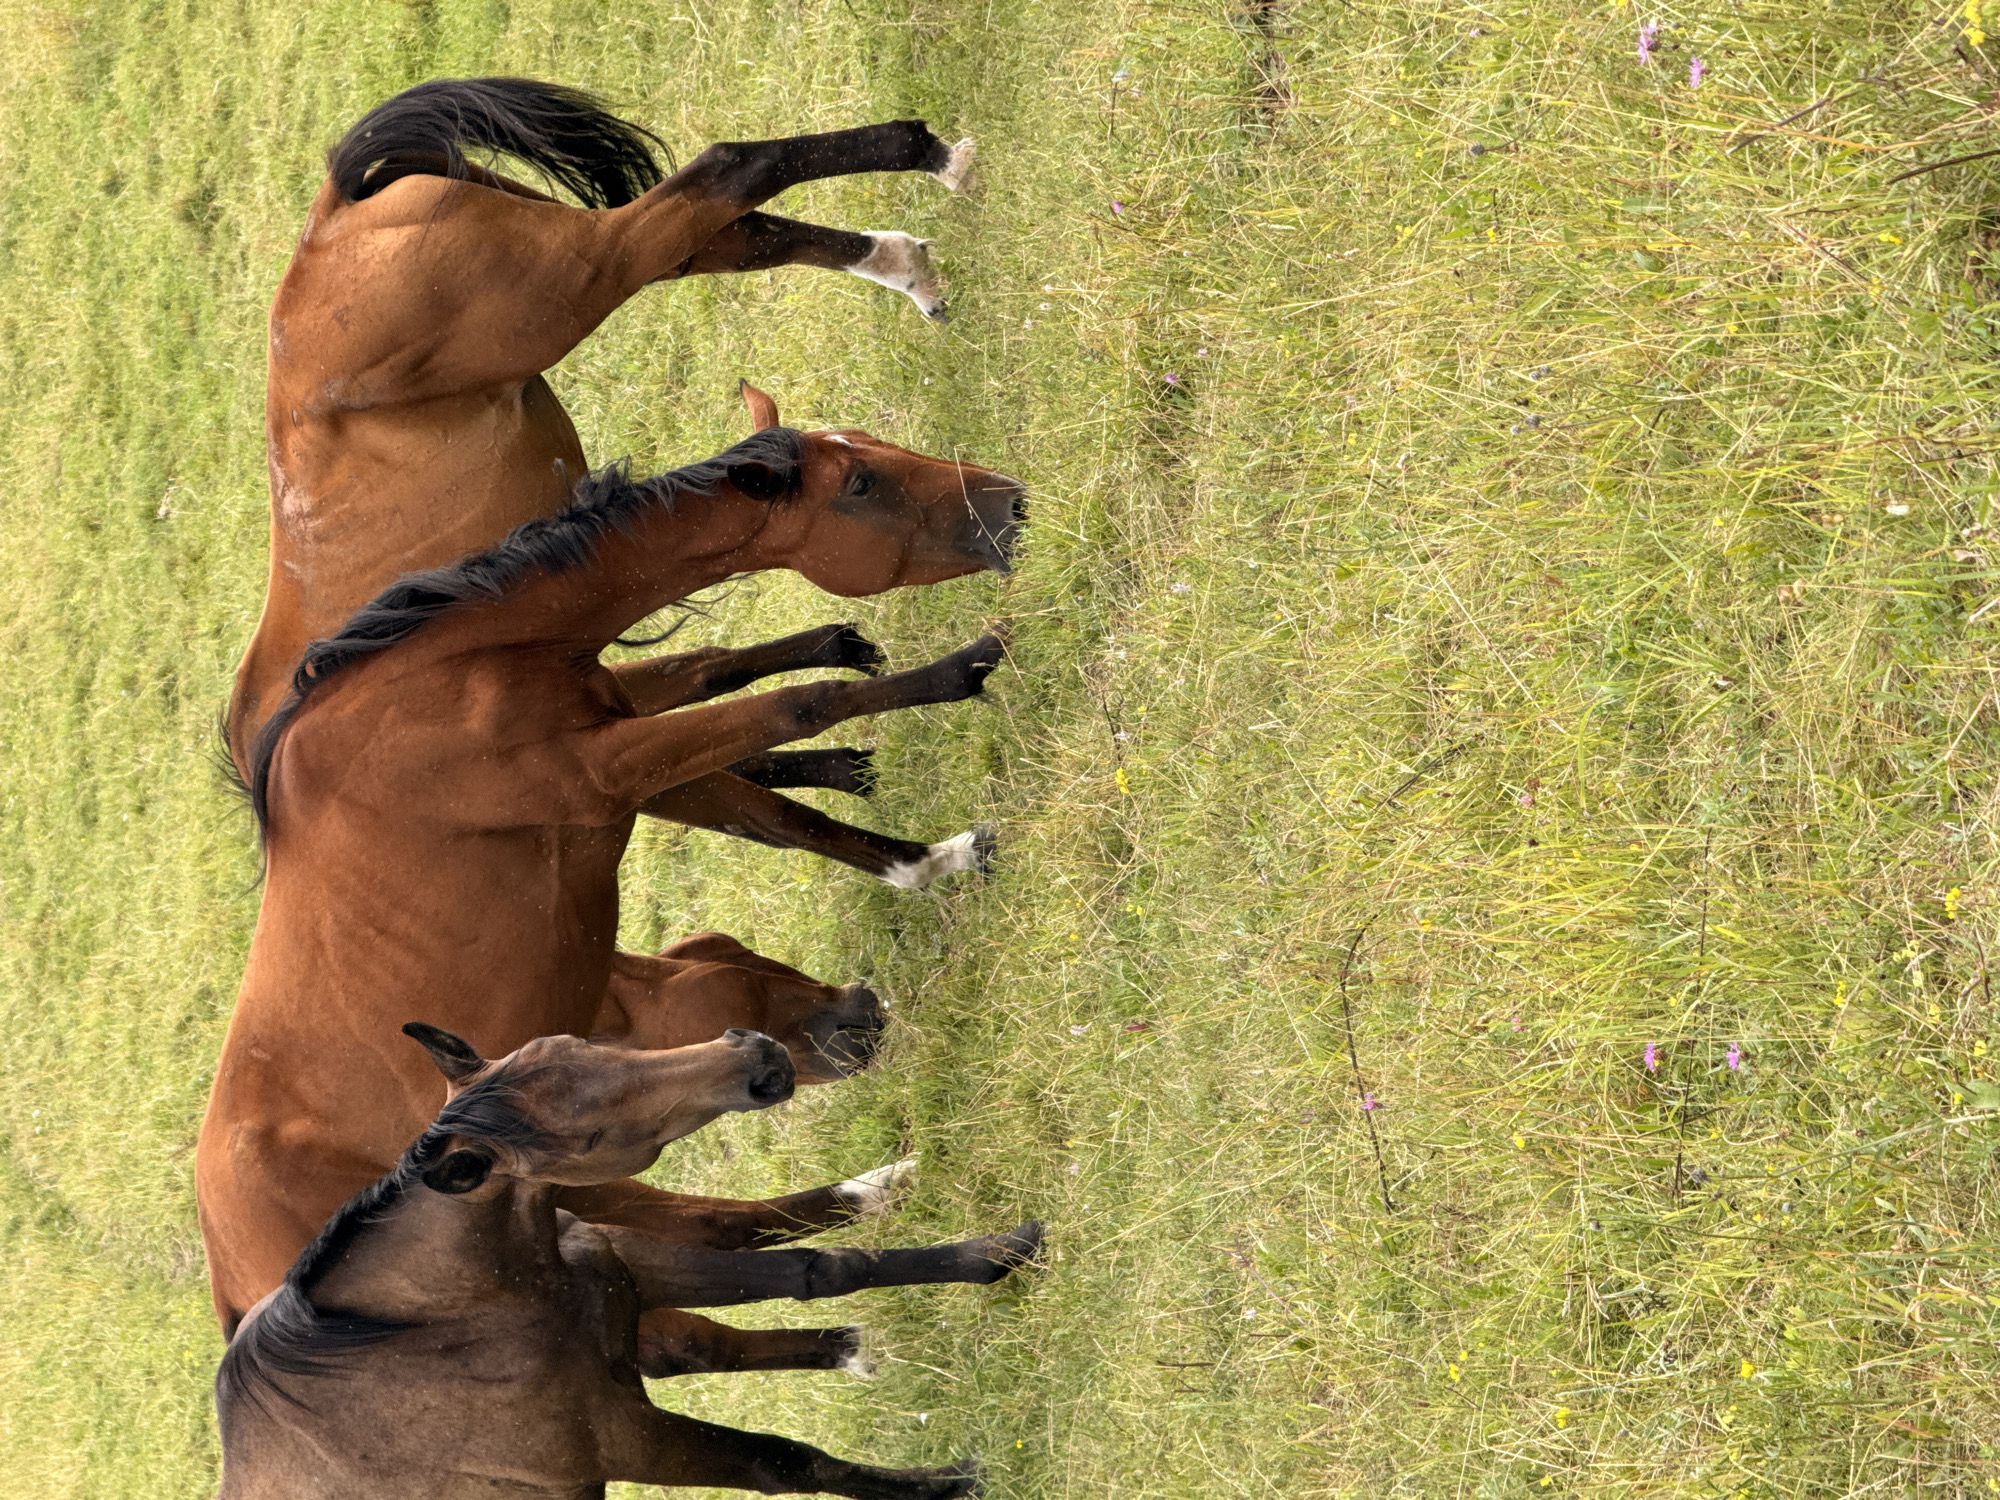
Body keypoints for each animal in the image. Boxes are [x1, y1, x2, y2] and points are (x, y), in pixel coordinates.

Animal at [195, 422, 1019, 1359]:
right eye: (860, 483)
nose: (1012, 503)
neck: (444, 686)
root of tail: (245, 1296)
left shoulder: (626, 772)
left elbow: (783, 817)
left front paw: (934, 860)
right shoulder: (614, 768)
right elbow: (800, 707)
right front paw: (970, 663)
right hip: (595, 1192)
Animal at [216, 1024, 1040, 1499]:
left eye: (587, 1044)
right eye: (588, 1136)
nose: (758, 1056)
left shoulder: (629, 1268)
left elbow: (818, 1270)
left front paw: (1000, 1251)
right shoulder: (627, 1440)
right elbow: (783, 1462)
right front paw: (949, 1483)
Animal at [229, 76, 1002, 889]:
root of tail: (326, 223)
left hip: (572, 276)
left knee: (727, 174)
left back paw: (930, 159)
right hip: (556, 242)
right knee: (734, 235)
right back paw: (910, 257)